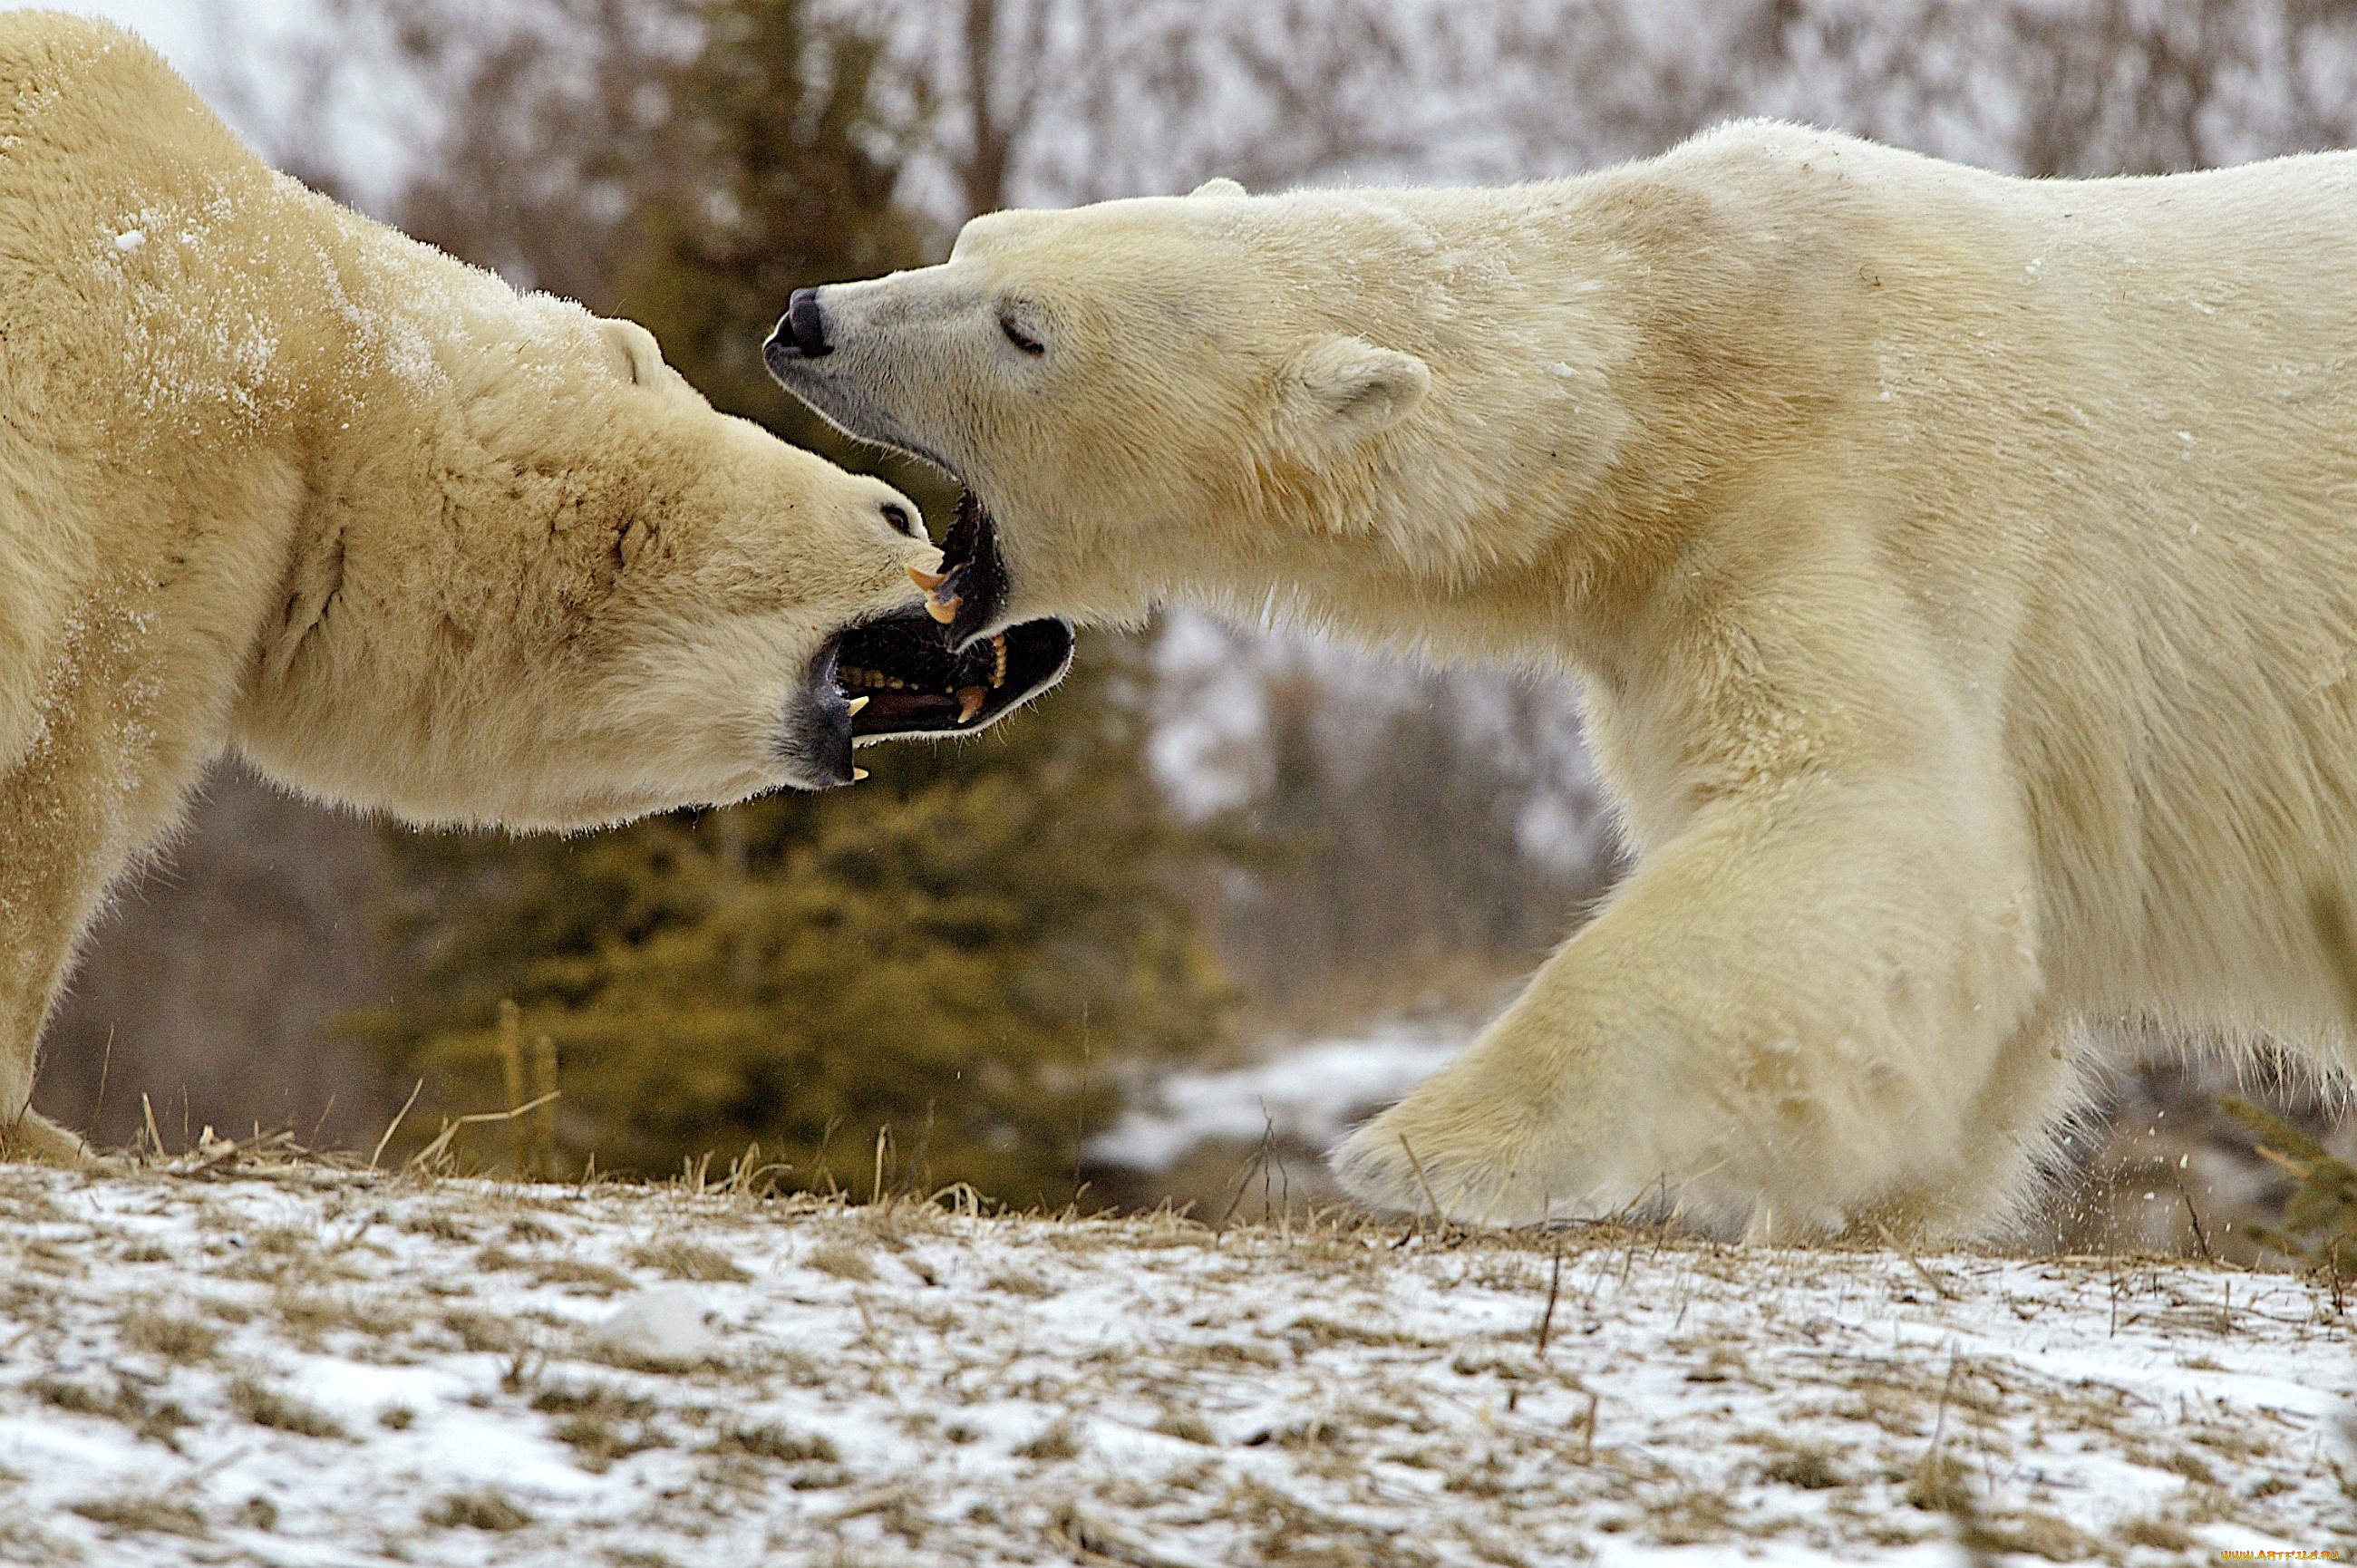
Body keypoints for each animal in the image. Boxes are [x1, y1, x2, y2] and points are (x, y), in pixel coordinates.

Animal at [2, 15, 1079, 1159]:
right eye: (898, 518)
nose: (1043, 633)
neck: (318, 363)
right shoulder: (151, 440)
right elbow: (71, 757)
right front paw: (38, 1124)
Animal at [772, 128, 2357, 1244]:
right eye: (973, 238)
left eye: (1025, 328)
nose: (806, 317)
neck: (1687, 349)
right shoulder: (1663, 598)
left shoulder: (1879, 503)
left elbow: (1870, 816)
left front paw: (1420, 1147)